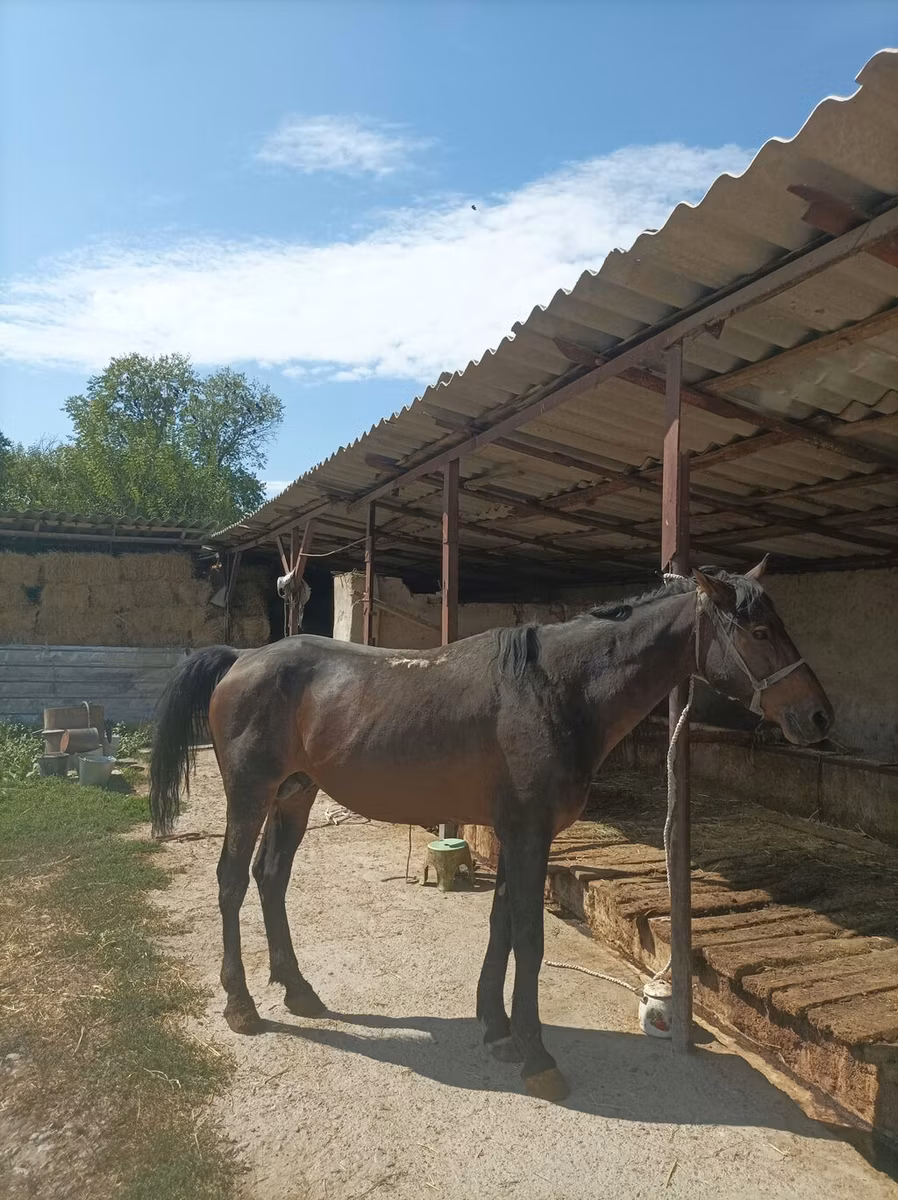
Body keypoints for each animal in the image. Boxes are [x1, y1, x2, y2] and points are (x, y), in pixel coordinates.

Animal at [149, 559, 832, 1102]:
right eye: (760, 631)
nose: (819, 715)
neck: (553, 689)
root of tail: (243, 658)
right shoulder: (529, 833)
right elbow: (528, 939)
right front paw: (536, 1055)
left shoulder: (516, 832)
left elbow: (501, 922)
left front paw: (496, 1027)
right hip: (251, 796)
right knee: (232, 883)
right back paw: (242, 1006)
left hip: (295, 795)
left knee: (271, 879)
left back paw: (299, 992)